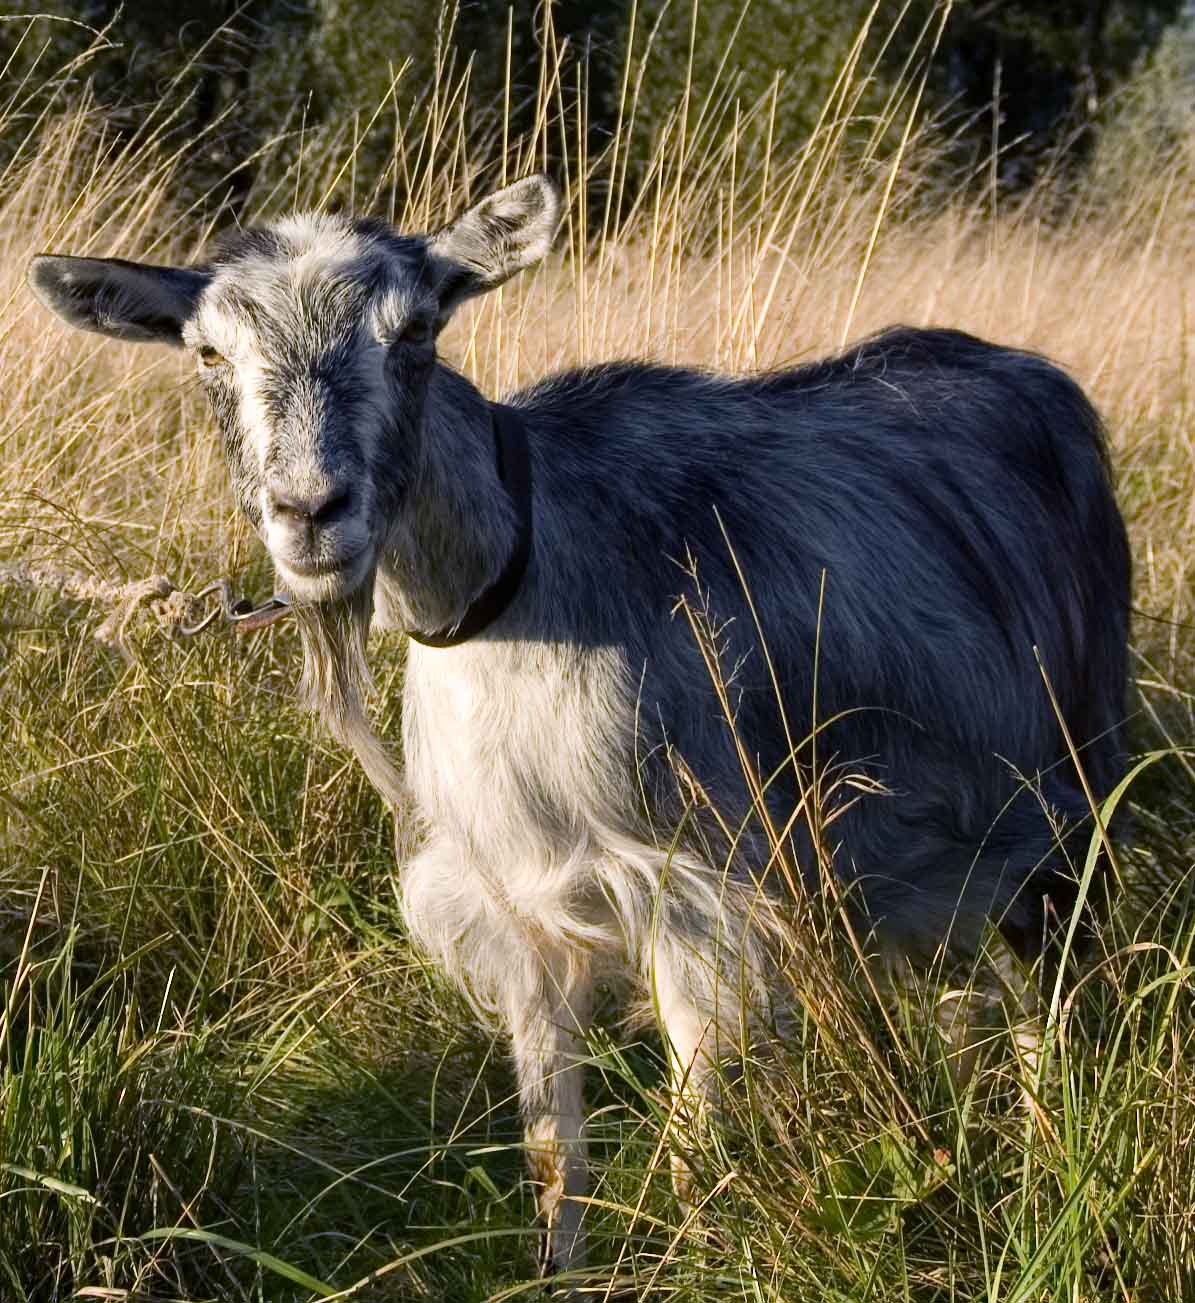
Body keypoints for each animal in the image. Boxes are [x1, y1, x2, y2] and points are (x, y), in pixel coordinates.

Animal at [25, 175, 1125, 1282]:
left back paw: (1055, 1159)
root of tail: (1032, 374)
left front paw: (695, 1256)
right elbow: (552, 1139)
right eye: (207, 352)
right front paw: (561, 1268)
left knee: (1052, 987)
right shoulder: (511, 903)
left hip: (1067, 781)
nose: (310, 511)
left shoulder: (699, 887)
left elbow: (691, 1138)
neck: (519, 578)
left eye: (414, 330)